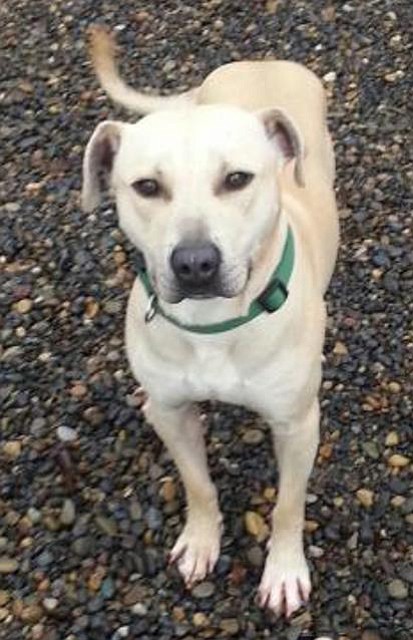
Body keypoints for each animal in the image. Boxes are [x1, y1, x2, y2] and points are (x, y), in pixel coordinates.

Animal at [81, 27, 338, 616]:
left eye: (237, 179)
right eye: (146, 187)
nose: (195, 263)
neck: (216, 324)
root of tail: (260, 60)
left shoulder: (297, 425)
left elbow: (289, 505)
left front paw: (284, 571)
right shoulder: (170, 412)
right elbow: (198, 485)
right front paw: (201, 542)